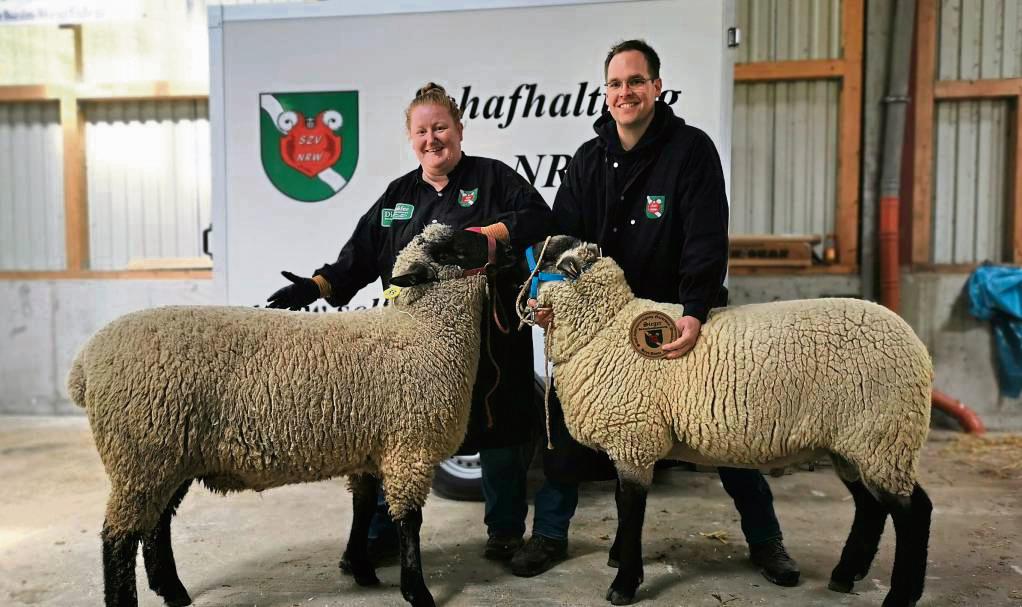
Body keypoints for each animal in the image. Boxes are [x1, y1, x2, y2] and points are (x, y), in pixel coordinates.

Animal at [66, 223, 506, 604]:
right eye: (449, 251)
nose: (505, 242)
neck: (422, 331)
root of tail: (85, 363)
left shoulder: (369, 449)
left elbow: (362, 508)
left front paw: (359, 567)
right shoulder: (409, 448)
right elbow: (410, 522)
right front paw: (417, 591)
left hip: (167, 453)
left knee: (156, 524)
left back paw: (173, 590)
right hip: (140, 454)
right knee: (119, 536)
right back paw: (131, 597)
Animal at [531, 236, 936, 604]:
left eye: (548, 255)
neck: (605, 328)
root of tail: (917, 345)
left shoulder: (634, 436)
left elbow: (630, 510)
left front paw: (625, 584)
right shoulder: (630, 443)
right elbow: (624, 505)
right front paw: (619, 561)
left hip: (884, 434)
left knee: (914, 513)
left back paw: (901, 595)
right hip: (854, 442)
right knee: (871, 507)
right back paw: (845, 575)